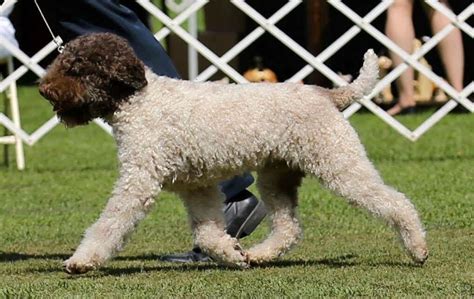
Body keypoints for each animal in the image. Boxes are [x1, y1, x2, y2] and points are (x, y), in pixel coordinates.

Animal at [39, 32, 428, 274]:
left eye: (76, 68)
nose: (43, 89)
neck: (140, 101)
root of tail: (325, 93)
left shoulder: (140, 180)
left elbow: (109, 224)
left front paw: (81, 261)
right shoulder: (196, 186)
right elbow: (208, 233)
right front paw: (232, 254)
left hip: (339, 164)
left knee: (397, 202)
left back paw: (418, 248)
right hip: (277, 176)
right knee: (288, 227)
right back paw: (258, 255)